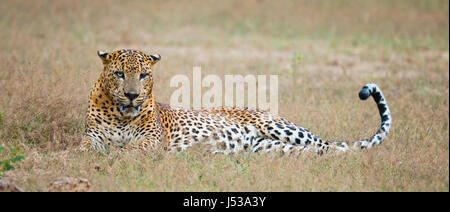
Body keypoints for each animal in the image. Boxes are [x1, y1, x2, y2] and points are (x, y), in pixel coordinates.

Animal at [80, 48, 390, 155]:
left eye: (143, 75)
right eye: (120, 74)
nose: (132, 95)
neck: (122, 114)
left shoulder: (153, 139)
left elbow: (134, 147)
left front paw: (120, 154)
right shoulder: (92, 135)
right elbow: (84, 147)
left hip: (281, 128)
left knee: (333, 146)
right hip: (270, 148)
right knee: (316, 150)